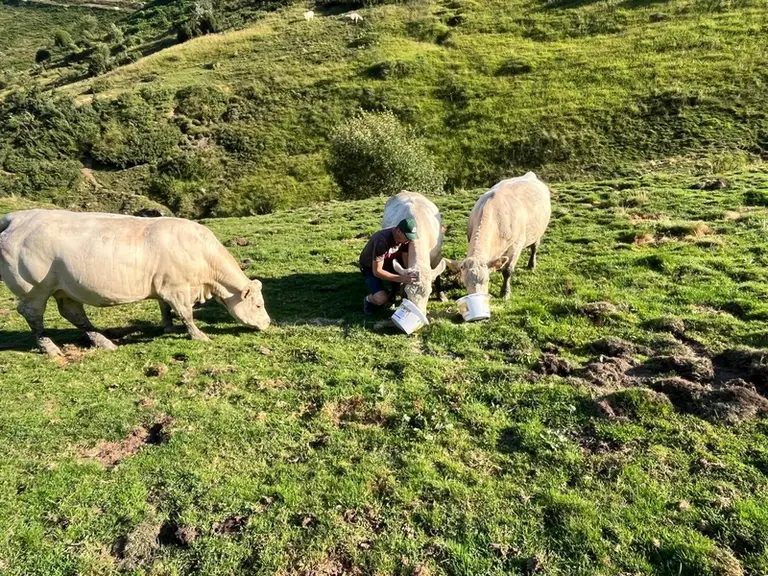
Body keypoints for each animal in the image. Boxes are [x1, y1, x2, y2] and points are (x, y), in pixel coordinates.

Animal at [0, 210, 270, 357]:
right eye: (258, 305)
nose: (267, 323)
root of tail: (17, 217)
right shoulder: (177, 288)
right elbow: (186, 314)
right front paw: (199, 336)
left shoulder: (164, 286)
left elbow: (165, 308)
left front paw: (167, 327)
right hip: (34, 288)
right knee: (32, 313)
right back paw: (49, 346)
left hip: (64, 288)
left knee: (73, 313)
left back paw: (103, 341)